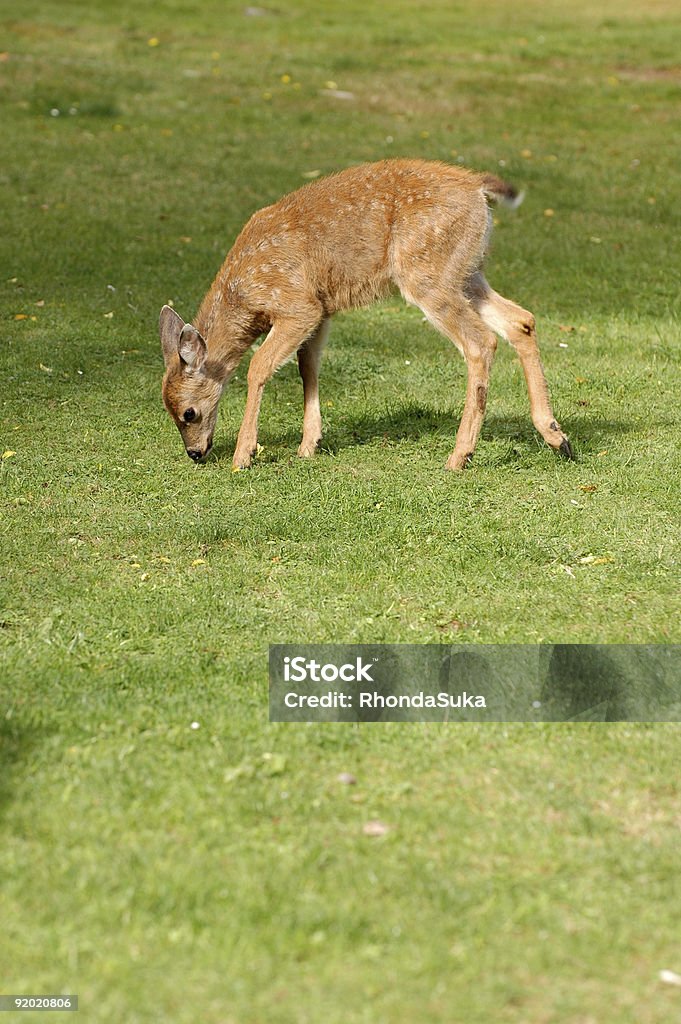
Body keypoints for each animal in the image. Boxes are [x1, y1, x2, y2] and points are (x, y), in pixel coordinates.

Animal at [157, 158, 569, 471]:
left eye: (188, 413)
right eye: (169, 410)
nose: (195, 453)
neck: (242, 294)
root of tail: (478, 188)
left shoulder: (298, 305)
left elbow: (259, 367)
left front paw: (244, 455)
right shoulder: (323, 310)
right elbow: (308, 367)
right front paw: (309, 445)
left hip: (427, 274)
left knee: (481, 342)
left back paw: (459, 455)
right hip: (467, 273)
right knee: (521, 320)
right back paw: (557, 437)